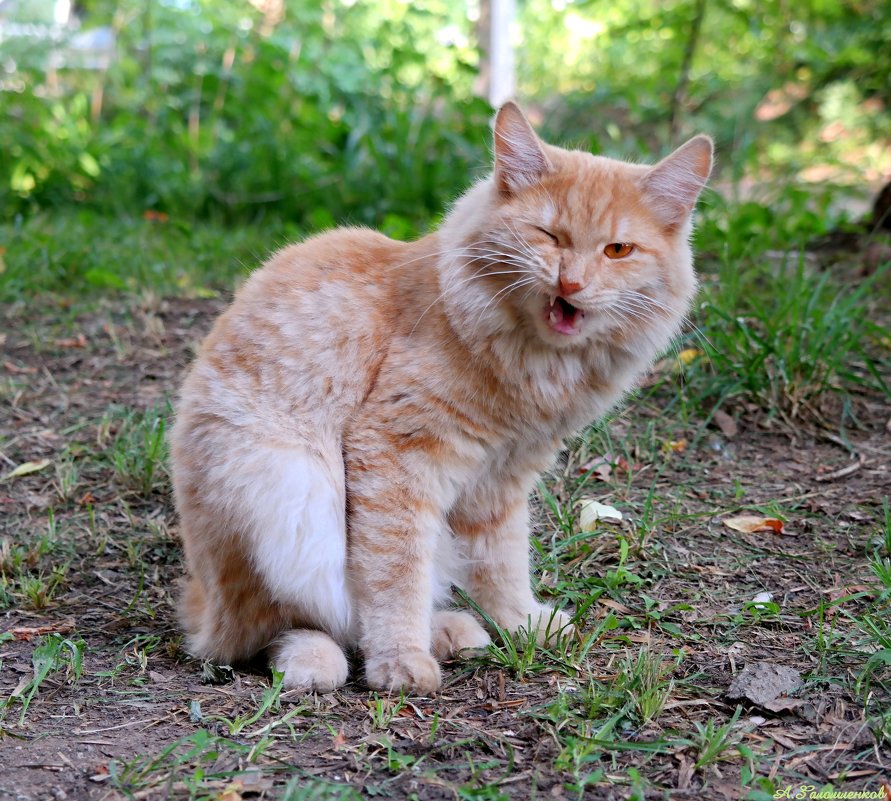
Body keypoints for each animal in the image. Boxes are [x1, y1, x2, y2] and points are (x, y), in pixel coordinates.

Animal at [171, 103, 716, 692]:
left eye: (617, 250)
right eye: (548, 235)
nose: (570, 284)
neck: (535, 367)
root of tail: (201, 607)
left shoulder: (502, 477)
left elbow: (502, 562)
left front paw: (525, 624)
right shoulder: (397, 455)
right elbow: (395, 574)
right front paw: (399, 661)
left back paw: (450, 631)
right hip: (285, 487)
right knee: (277, 628)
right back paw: (319, 657)